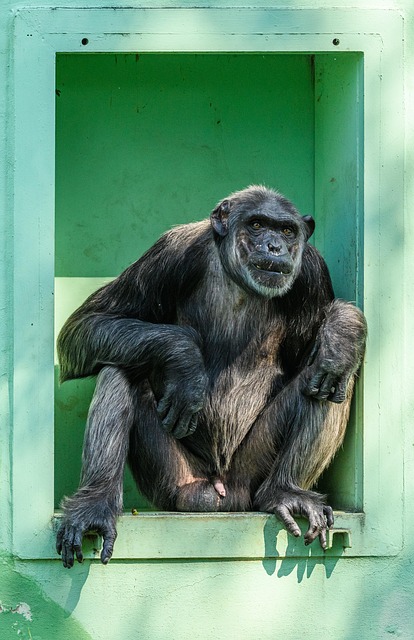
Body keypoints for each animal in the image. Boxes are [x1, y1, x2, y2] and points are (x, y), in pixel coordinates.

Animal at [56, 185, 367, 568]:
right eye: (257, 224)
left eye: (287, 230)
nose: (274, 247)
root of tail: (222, 493)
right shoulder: (170, 252)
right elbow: (87, 324)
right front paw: (185, 362)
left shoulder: (311, 271)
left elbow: (314, 349)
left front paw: (342, 334)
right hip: (174, 482)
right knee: (118, 367)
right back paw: (94, 506)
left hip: (251, 473)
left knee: (330, 377)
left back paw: (287, 491)